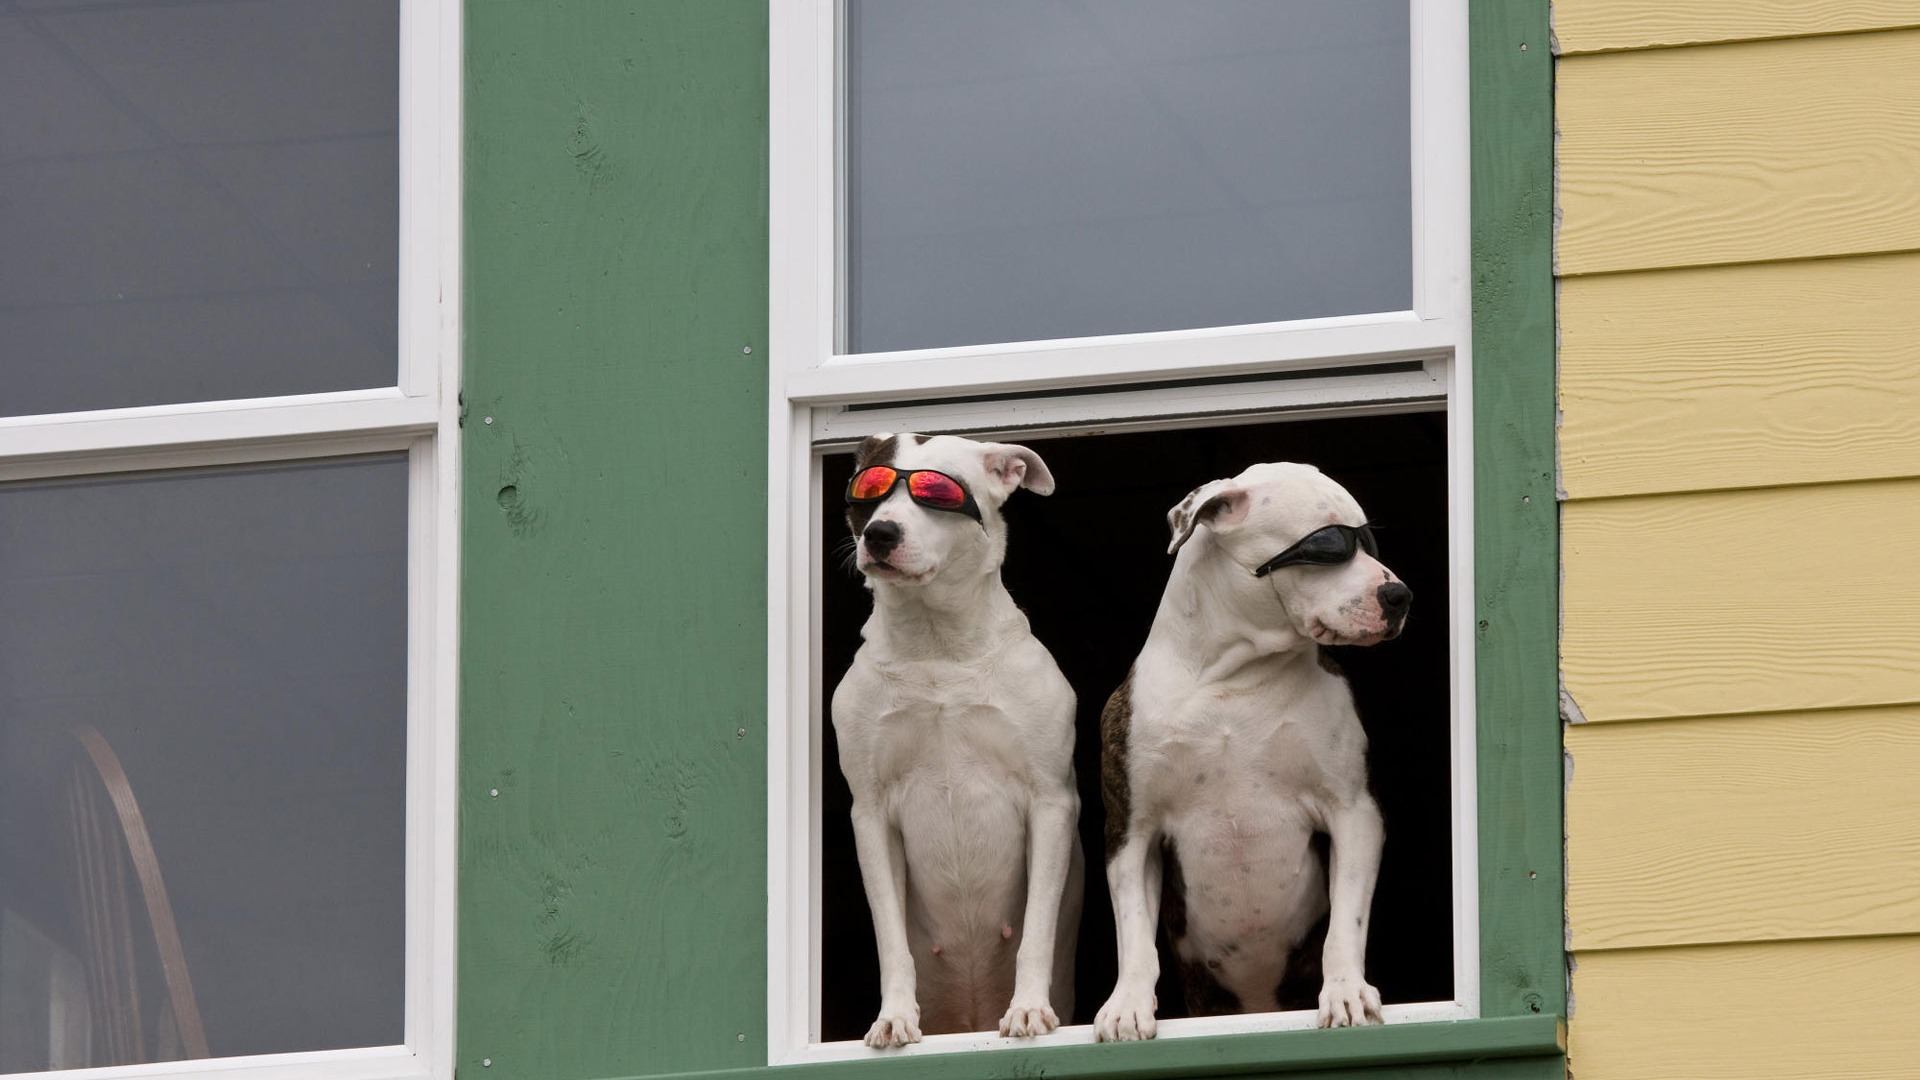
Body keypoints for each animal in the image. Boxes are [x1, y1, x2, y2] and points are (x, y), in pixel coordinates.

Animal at [833, 426, 1090, 1045]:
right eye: (870, 490)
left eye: (939, 492)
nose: (880, 533)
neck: (937, 644)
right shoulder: (870, 814)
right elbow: (891, 939)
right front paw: (894, 1015)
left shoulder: (1050, 803)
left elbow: (1036, 930)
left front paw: (1028, 1008)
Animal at [1098, 461, 1413, 1037]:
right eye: (1327, 543)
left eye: (1366, 539)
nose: (1399, 595)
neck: (1234, 676)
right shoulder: (1131, 831)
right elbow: (1133, 933)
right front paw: (1127, 1004)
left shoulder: (1354, 811)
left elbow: (1346, 921)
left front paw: (1346, 990)